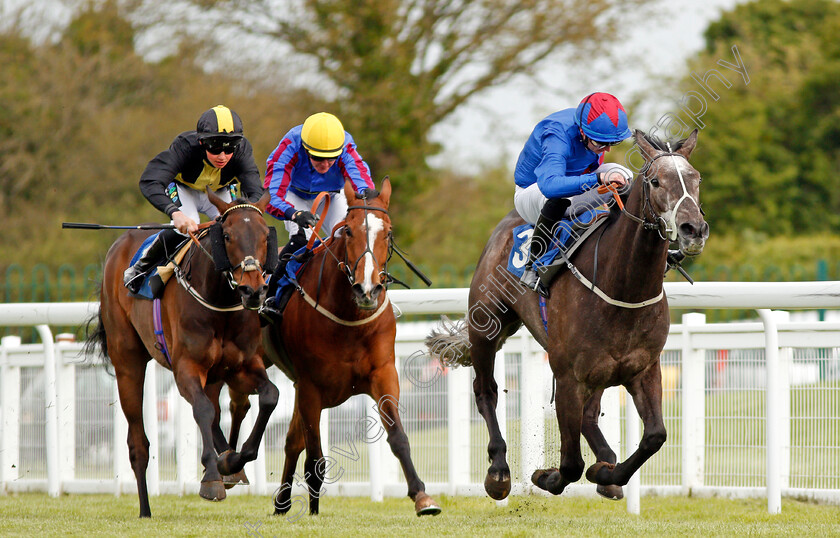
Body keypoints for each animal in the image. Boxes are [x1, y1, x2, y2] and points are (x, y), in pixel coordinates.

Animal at [88, 188, 278, 516]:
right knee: (138, 443)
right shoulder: (186, 367)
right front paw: (213, 477)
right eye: (227, 235)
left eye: (266, 235)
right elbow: (201, 409)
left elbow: (269, 396)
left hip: (214, 375)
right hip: (127, 361)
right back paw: (145, 509)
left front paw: (232, 461)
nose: (252, 291)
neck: (220, 302)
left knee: (217, 411)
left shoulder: (242, 367)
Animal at [264, 179, 442, 516]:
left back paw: (282, 502)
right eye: (348, 230)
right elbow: (316, 458)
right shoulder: (310, 387)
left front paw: (422, 497)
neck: (349, 317)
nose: (367, 290)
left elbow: (398, 436)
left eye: (388, 232)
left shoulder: (383, 374)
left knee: (291, 441)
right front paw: (313, 512)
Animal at [426, 130, 708, 498]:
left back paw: (606, 463)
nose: (694, 229)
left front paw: (607, 473)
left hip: (599, 371)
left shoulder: (643, 369)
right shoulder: (567, 377)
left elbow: (655, 436)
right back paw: (499, 470)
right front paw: (545, 476)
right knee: (486, 391)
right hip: (487, 327)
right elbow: (571, 463)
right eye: (657, 181)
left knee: (590, 416)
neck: (623, 288)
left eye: (696, 179)